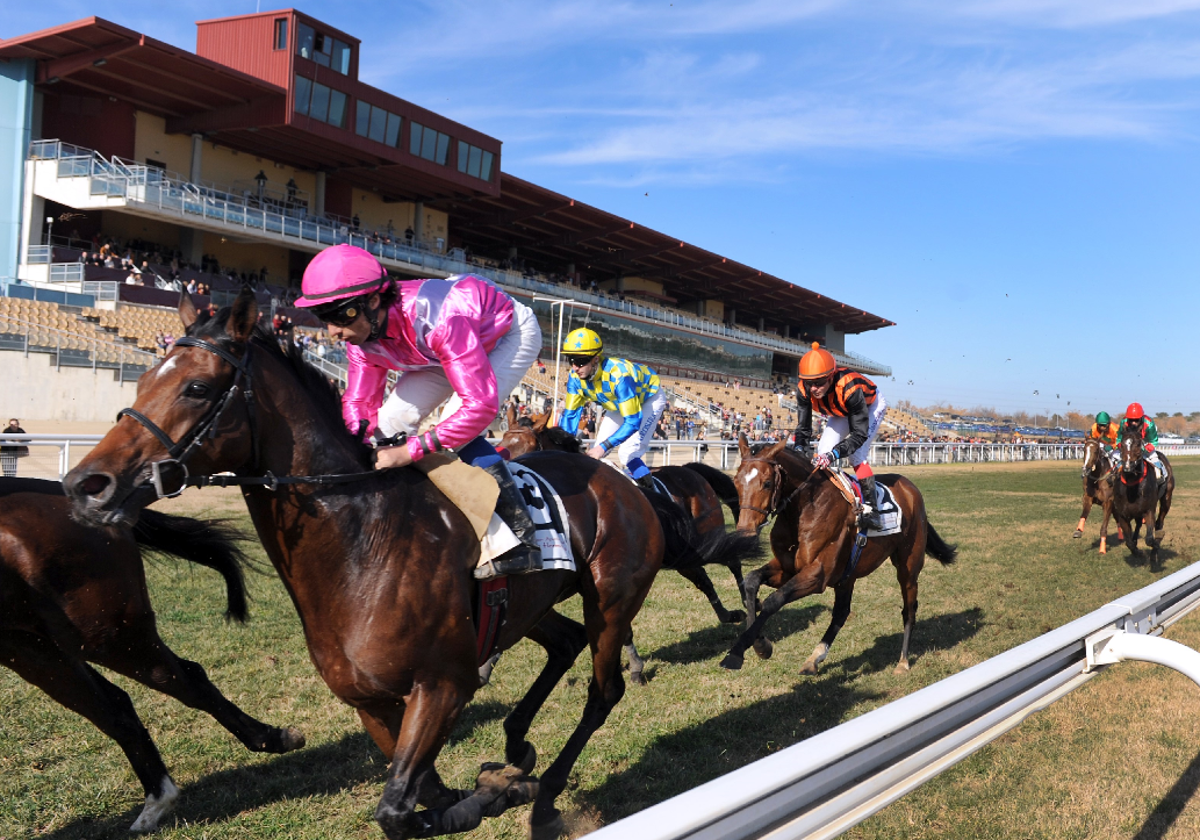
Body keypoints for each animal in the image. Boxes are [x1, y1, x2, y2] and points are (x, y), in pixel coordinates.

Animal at [65, 290, 715, 840]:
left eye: (198, 387)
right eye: (143, 378)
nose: (85, 484)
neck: (363, 544)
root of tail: (620, 482)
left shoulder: (443, 683)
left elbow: (398, 810)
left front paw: (496, 795)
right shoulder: (371, 700)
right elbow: (422, 791)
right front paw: (490, 784)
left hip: (611, 597)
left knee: (603, 689)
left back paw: (549, 792)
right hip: (527, 605)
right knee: (565, 642)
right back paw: (517, 747)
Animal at [501, 410, 753, 628]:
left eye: (530, 446)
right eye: (503, 444)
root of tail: (691, 470)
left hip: (710, 533)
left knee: (732, 559)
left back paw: (747, 601)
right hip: (684, 551)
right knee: (702, 577)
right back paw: (728, 614)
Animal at [715, 432, 960, 676]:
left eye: (766, 483)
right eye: (736, 482)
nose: (744, 532)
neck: (805, 508)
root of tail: (910, 488)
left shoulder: (818, 575)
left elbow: (774, 600)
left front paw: (738, 652)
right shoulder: (788, 568)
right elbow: (751, 581)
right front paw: (759, 642)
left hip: (908, 567)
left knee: (909, 609)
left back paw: (903, 661)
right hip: (847, 575)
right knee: (841, 613)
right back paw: (815, 657)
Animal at [1108, 429, 1176, 568]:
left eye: (1139, 444)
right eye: (1122, 445)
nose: (1127, 466)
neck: (1132, 486)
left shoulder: (1149, 510)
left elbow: (1149, 539)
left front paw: (1155, 544)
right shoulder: (1123, 515)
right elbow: (1128, 541)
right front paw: (1137, 552)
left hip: (1167, 499)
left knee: (1159, 523)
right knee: (1138, 524)